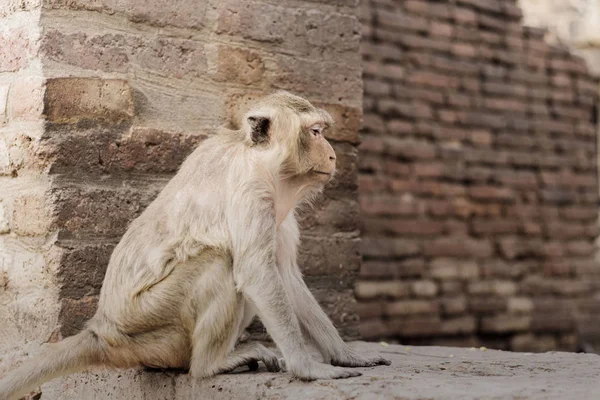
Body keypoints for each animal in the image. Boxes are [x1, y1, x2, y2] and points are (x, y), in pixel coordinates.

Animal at [0, 91, 392, 400]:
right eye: (315, 132)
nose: (332, 154)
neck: (258, 160)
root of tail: (103, 331)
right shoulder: (252, 192)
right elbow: (256, 272)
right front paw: (307, 367)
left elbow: (284, 276)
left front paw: (343, 354)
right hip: (148, 326)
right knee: (220, 261)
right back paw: (210, 365)